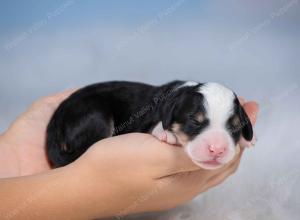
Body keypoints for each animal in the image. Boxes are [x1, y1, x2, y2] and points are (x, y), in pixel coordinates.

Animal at [46, 81, 253, 168]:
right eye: (195, 121)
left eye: (235, 127)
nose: (217, 150)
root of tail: (55, 120)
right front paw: (167, 133)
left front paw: (248, 139)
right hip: (97, 116)